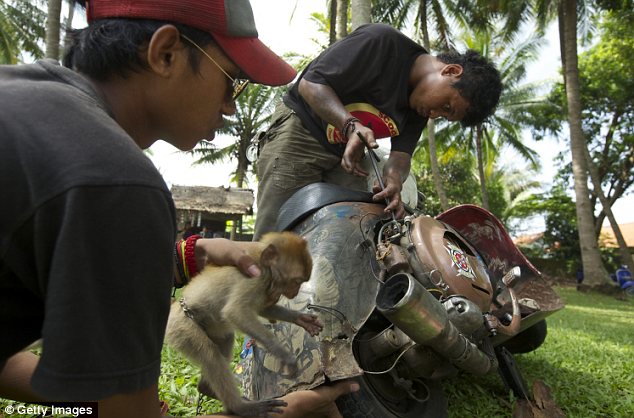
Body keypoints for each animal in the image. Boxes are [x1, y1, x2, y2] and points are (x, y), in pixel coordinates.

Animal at [164, 232, 320, 418]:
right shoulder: (256, 278)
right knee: (210, 354)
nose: (295, 293)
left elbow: (262, 309)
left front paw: (300, 319)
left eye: (301, 282)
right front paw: (286, 357)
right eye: (296, 281)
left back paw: (207, 388)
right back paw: (240, 408)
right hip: (181, 326)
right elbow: (236, 312)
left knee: (225, 338)